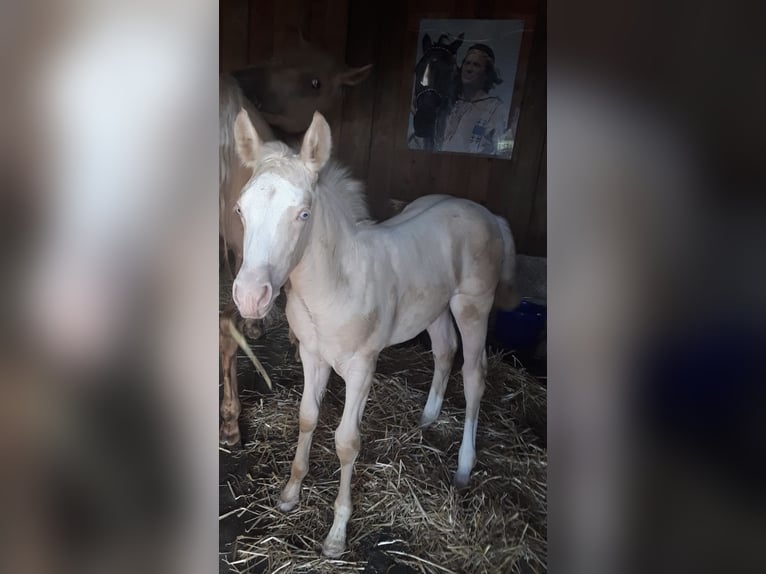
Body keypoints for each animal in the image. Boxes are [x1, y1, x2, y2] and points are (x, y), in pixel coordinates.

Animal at [231, 108, 518, 557]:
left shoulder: (362, 366)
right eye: (241, 209)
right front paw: (290, 494)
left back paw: (464, 467)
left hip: (473, 305)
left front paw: (336, 535)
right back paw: (428, 417)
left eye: (304, 213)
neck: (334, 285)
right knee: (443, 350)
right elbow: (307, 417)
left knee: (474, 374)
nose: (249, 296)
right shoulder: (311, 355)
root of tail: (489, 216)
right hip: (433, 307)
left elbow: (347, 441)